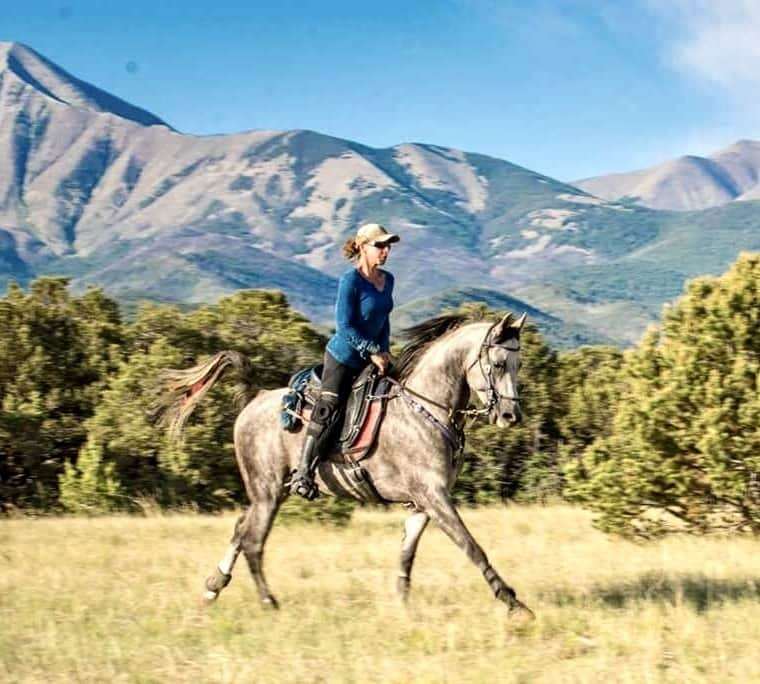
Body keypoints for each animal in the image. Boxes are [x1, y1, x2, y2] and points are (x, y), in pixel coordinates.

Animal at [156, 310, 536, 620]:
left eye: (518, 365)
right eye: (498, 364)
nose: (510, 416)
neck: (427, 409)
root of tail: (256, 397)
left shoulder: (422, 503)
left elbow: (407, 554)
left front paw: (401, 604)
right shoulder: (434, 496)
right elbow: (472, 546)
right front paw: (514, 603)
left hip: (269, 491)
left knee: (239, 529)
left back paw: (213, 587)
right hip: (267, 491)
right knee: (252, 541)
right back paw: (268, 602)